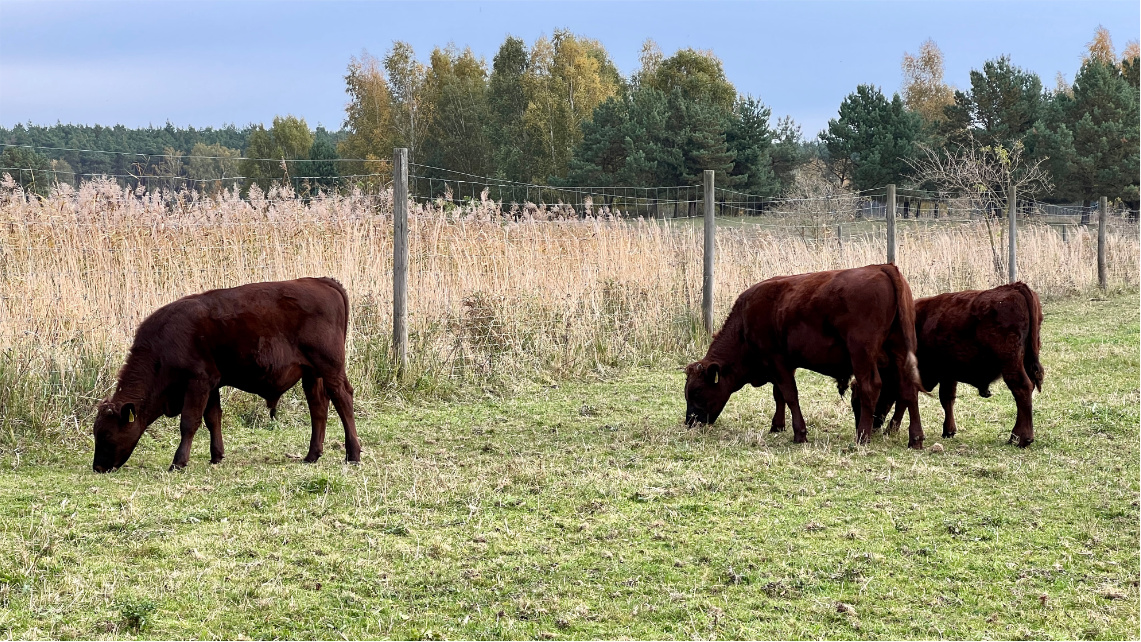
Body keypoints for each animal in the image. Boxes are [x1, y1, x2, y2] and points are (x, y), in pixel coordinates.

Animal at [92, 277, 360, 472]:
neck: (163, 345)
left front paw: (178, 462)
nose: (98, 467)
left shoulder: (197, 382)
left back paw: (353, 454)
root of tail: (321, 281)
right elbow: (213, 419)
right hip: (311, 374)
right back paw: (312, 455)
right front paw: (216, 456)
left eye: (106, 434)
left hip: (330, 368)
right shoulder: (211, 385)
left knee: (343, 399)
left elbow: (189, 422)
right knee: (319, 408)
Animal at [680, 263, 921, 449]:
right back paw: (916, 438)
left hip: (862, 354)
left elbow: (790, 395)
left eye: (697, 391)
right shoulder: (786, 364)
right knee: (909, 389)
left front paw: (800, 434)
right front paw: (777, 425)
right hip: (901, 353)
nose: (689, 421)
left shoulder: (777, 361)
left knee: (870, 388)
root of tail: (882, 267)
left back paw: (862, 436)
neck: (744, 324)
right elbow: (778, 395)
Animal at [858, 283, 1045, 449]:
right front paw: (949, 431)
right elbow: (947, 399)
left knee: (1022, 390)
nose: (873, 426)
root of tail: (1015, 287)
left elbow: (905, 399)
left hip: (1011, 365)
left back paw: (1020, 438)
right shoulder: (947, 374)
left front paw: (891, 429)